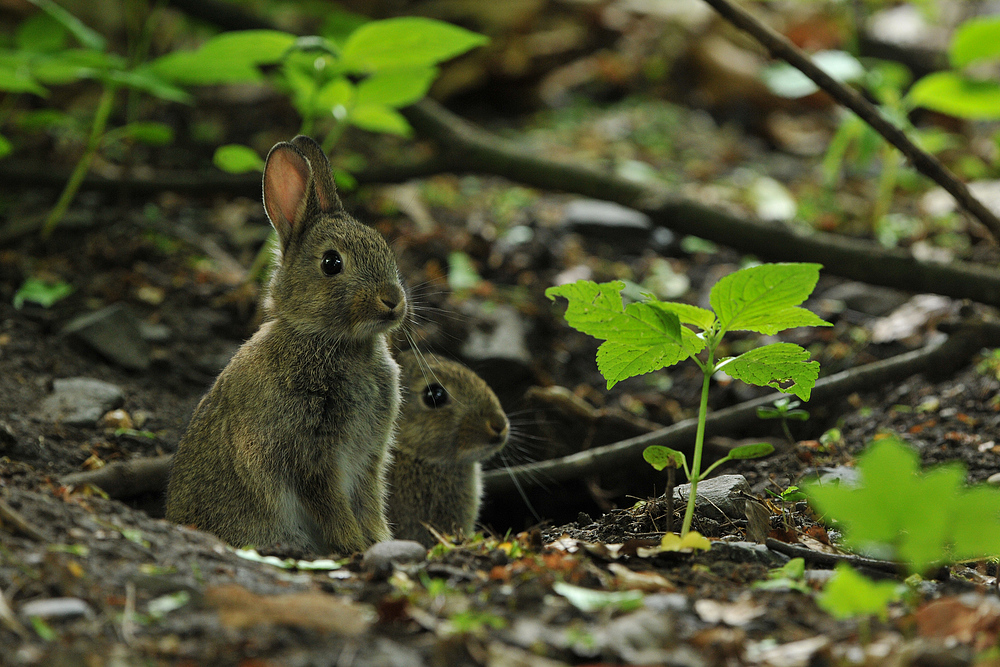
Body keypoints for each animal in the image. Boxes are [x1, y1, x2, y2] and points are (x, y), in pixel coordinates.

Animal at [166, 134, 408, 552]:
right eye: (331, 263)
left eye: (383, 246)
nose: (393, 300)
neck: (328, 340)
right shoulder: (307, 451)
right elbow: (330, 501)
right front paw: (354, 545)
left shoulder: (369, 456)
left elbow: (368, 499)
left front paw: (378, 540)